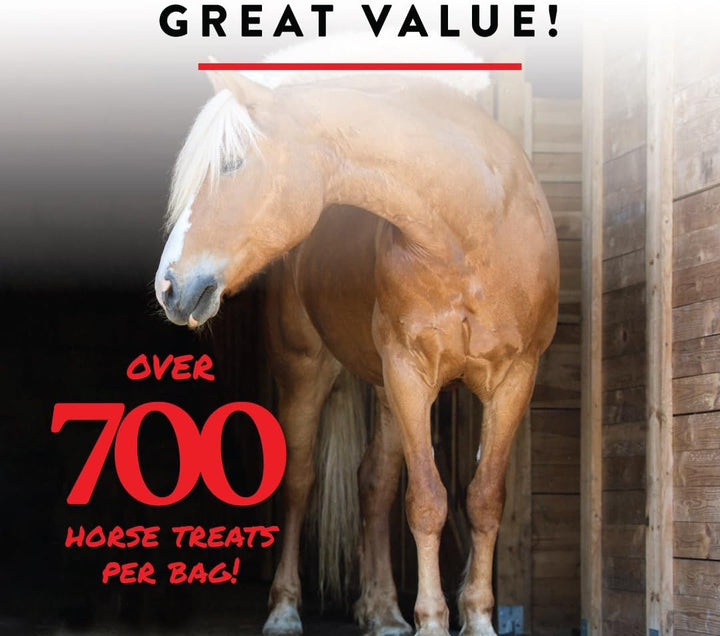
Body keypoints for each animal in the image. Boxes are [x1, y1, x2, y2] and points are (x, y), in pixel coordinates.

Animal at [154, 66, 559, 636]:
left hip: (386, 392)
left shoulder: (513, 380)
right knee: (300, 482)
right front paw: (433, 621)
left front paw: (477, 619)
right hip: (308, 373)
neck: (475, 229)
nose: (169, 287)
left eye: (232, 163)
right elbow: (427, 502)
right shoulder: (410, 373)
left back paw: (383, 611)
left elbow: (482, 499)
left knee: (374, 483)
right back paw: (285, 609)